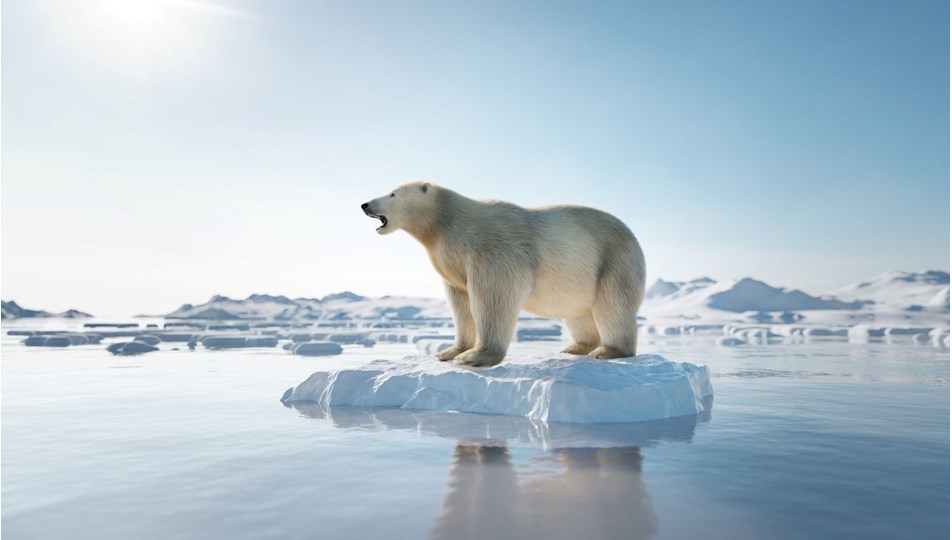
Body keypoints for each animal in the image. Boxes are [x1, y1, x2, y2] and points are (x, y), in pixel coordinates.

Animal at [358, 182, 648, 368]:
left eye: (392, 193)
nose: (364, 204)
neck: (447, 222)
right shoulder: (451, 260)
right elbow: (460, 302)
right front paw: (450, 351)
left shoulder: (493, 248)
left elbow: (493, 295)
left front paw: (474, 357)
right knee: (578, 313)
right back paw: (576, 347)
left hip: (614, 260)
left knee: (613, 306)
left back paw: (608, 350)